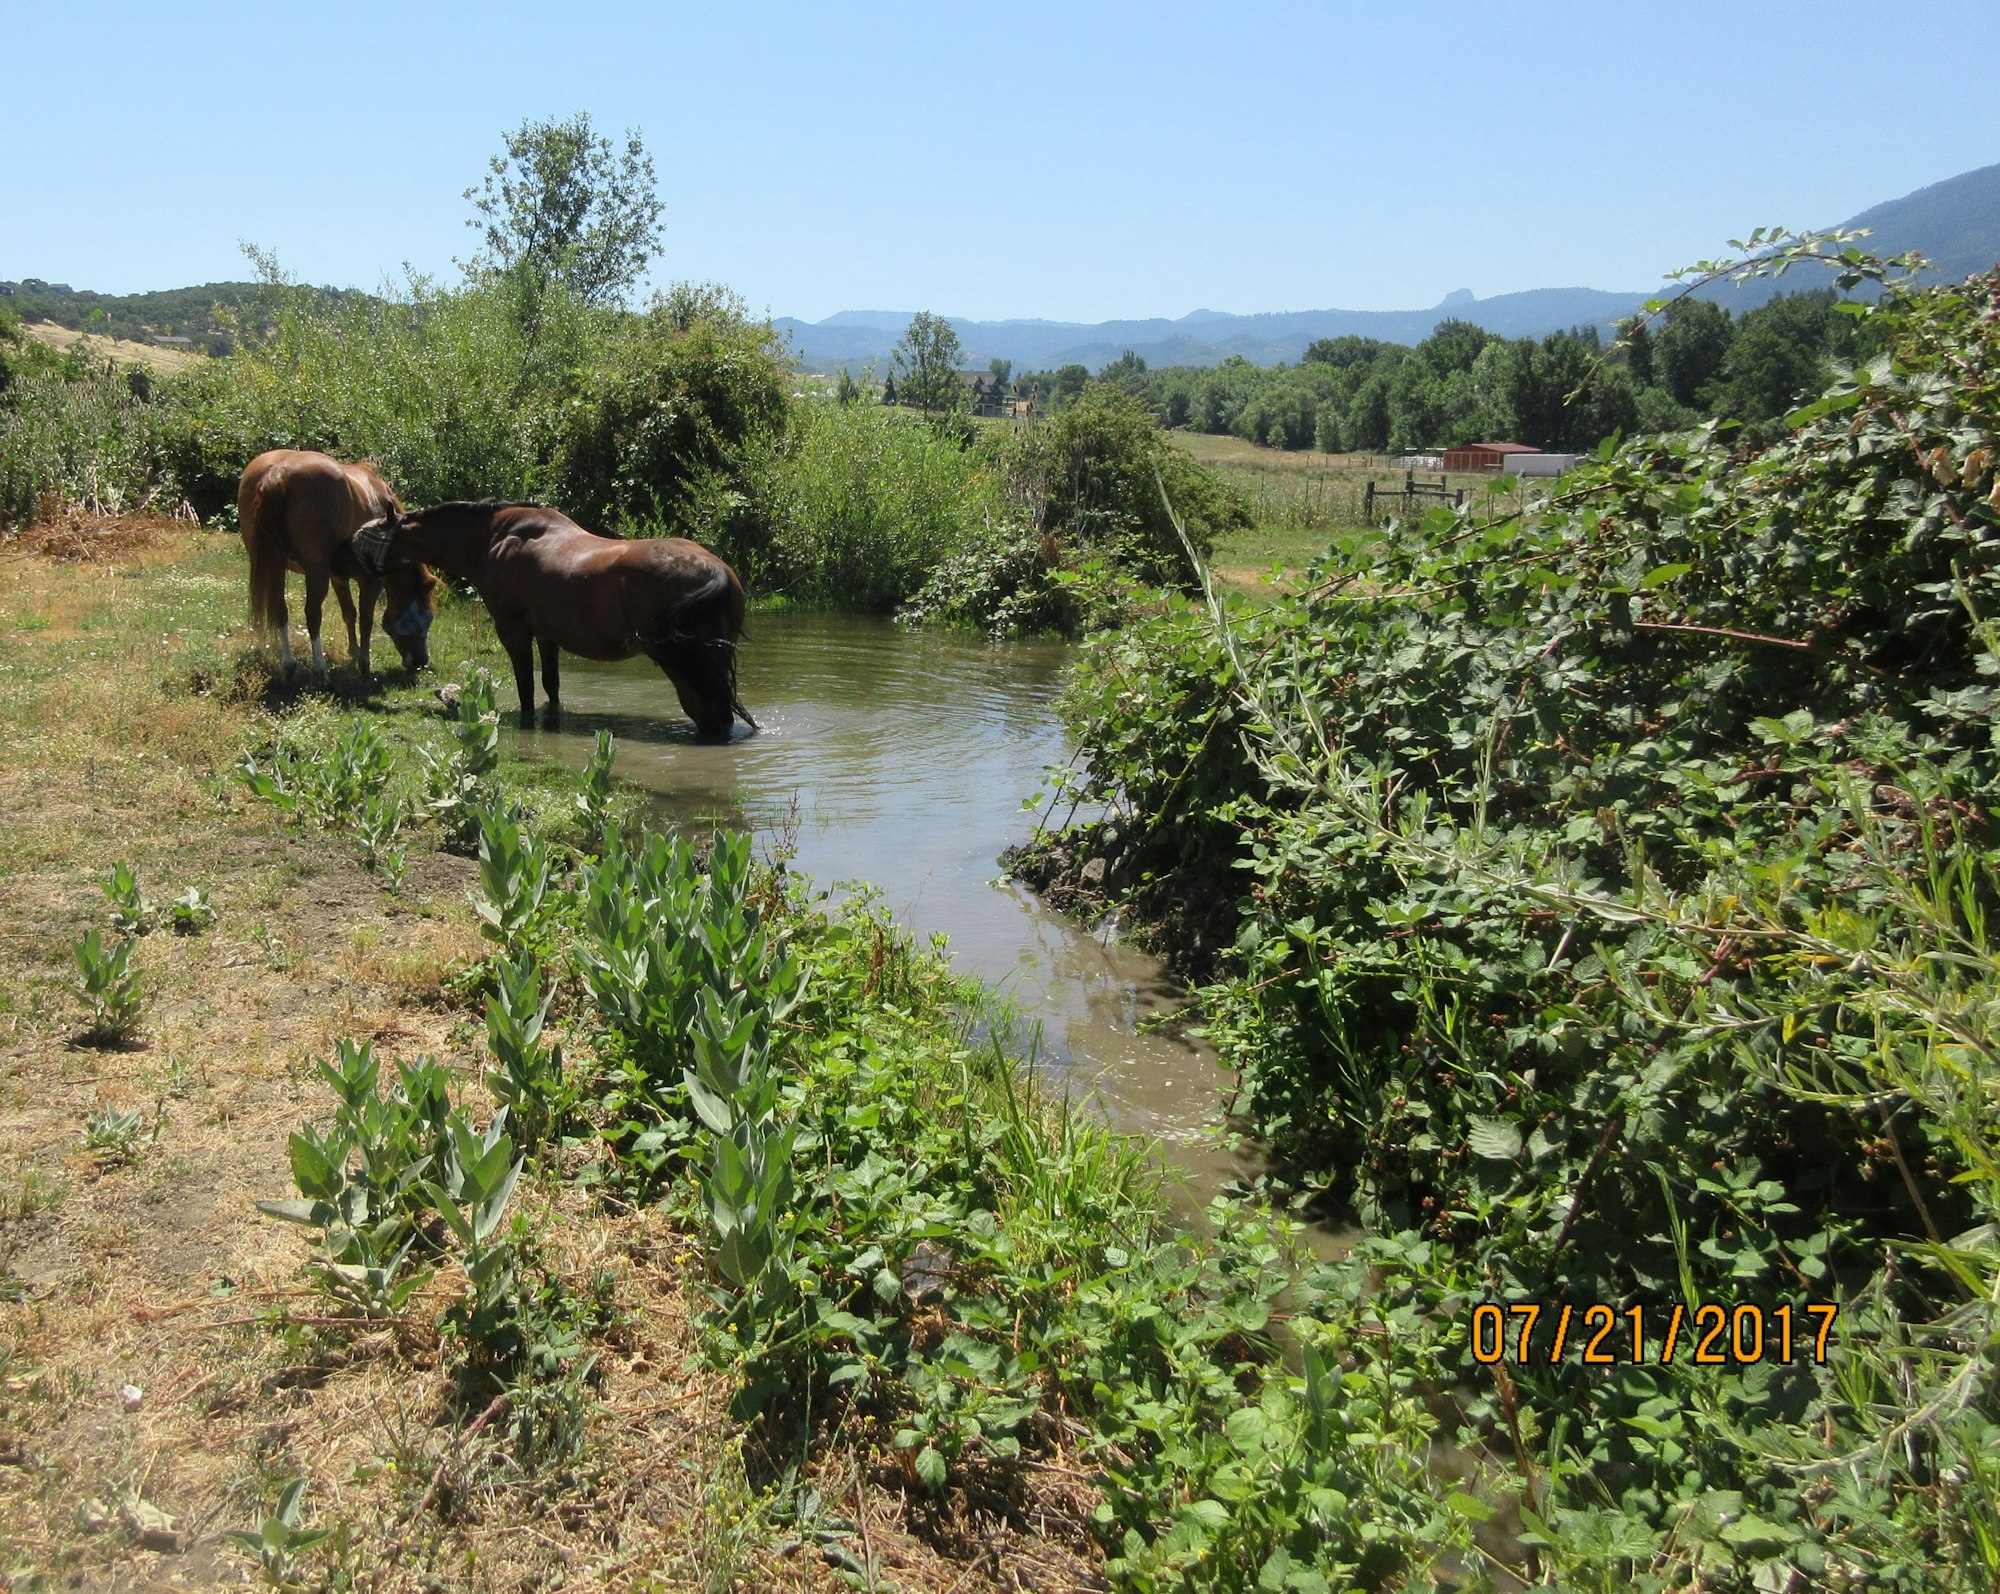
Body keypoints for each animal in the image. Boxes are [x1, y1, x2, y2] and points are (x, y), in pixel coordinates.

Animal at [238, 450, 439, 681]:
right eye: (427, 616)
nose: (421, 661)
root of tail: (279, 471)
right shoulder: (371, 581)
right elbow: (366, 619)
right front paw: (364, 663)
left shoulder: (338, 576)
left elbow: (349, 612)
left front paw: (353, 652)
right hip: (315, 571)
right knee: (313, 613)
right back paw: (320, 669)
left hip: (272, 565)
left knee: (280, 610)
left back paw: (288, 664)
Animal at [344, 500, 757, 739]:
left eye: (374, 530)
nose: (348, 548)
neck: (495, 537)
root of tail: (715, 570)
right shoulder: (547, 635)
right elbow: (551, 686)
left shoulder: (513, 629)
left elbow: (526, 685)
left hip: (685, 668)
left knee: (712, 714)